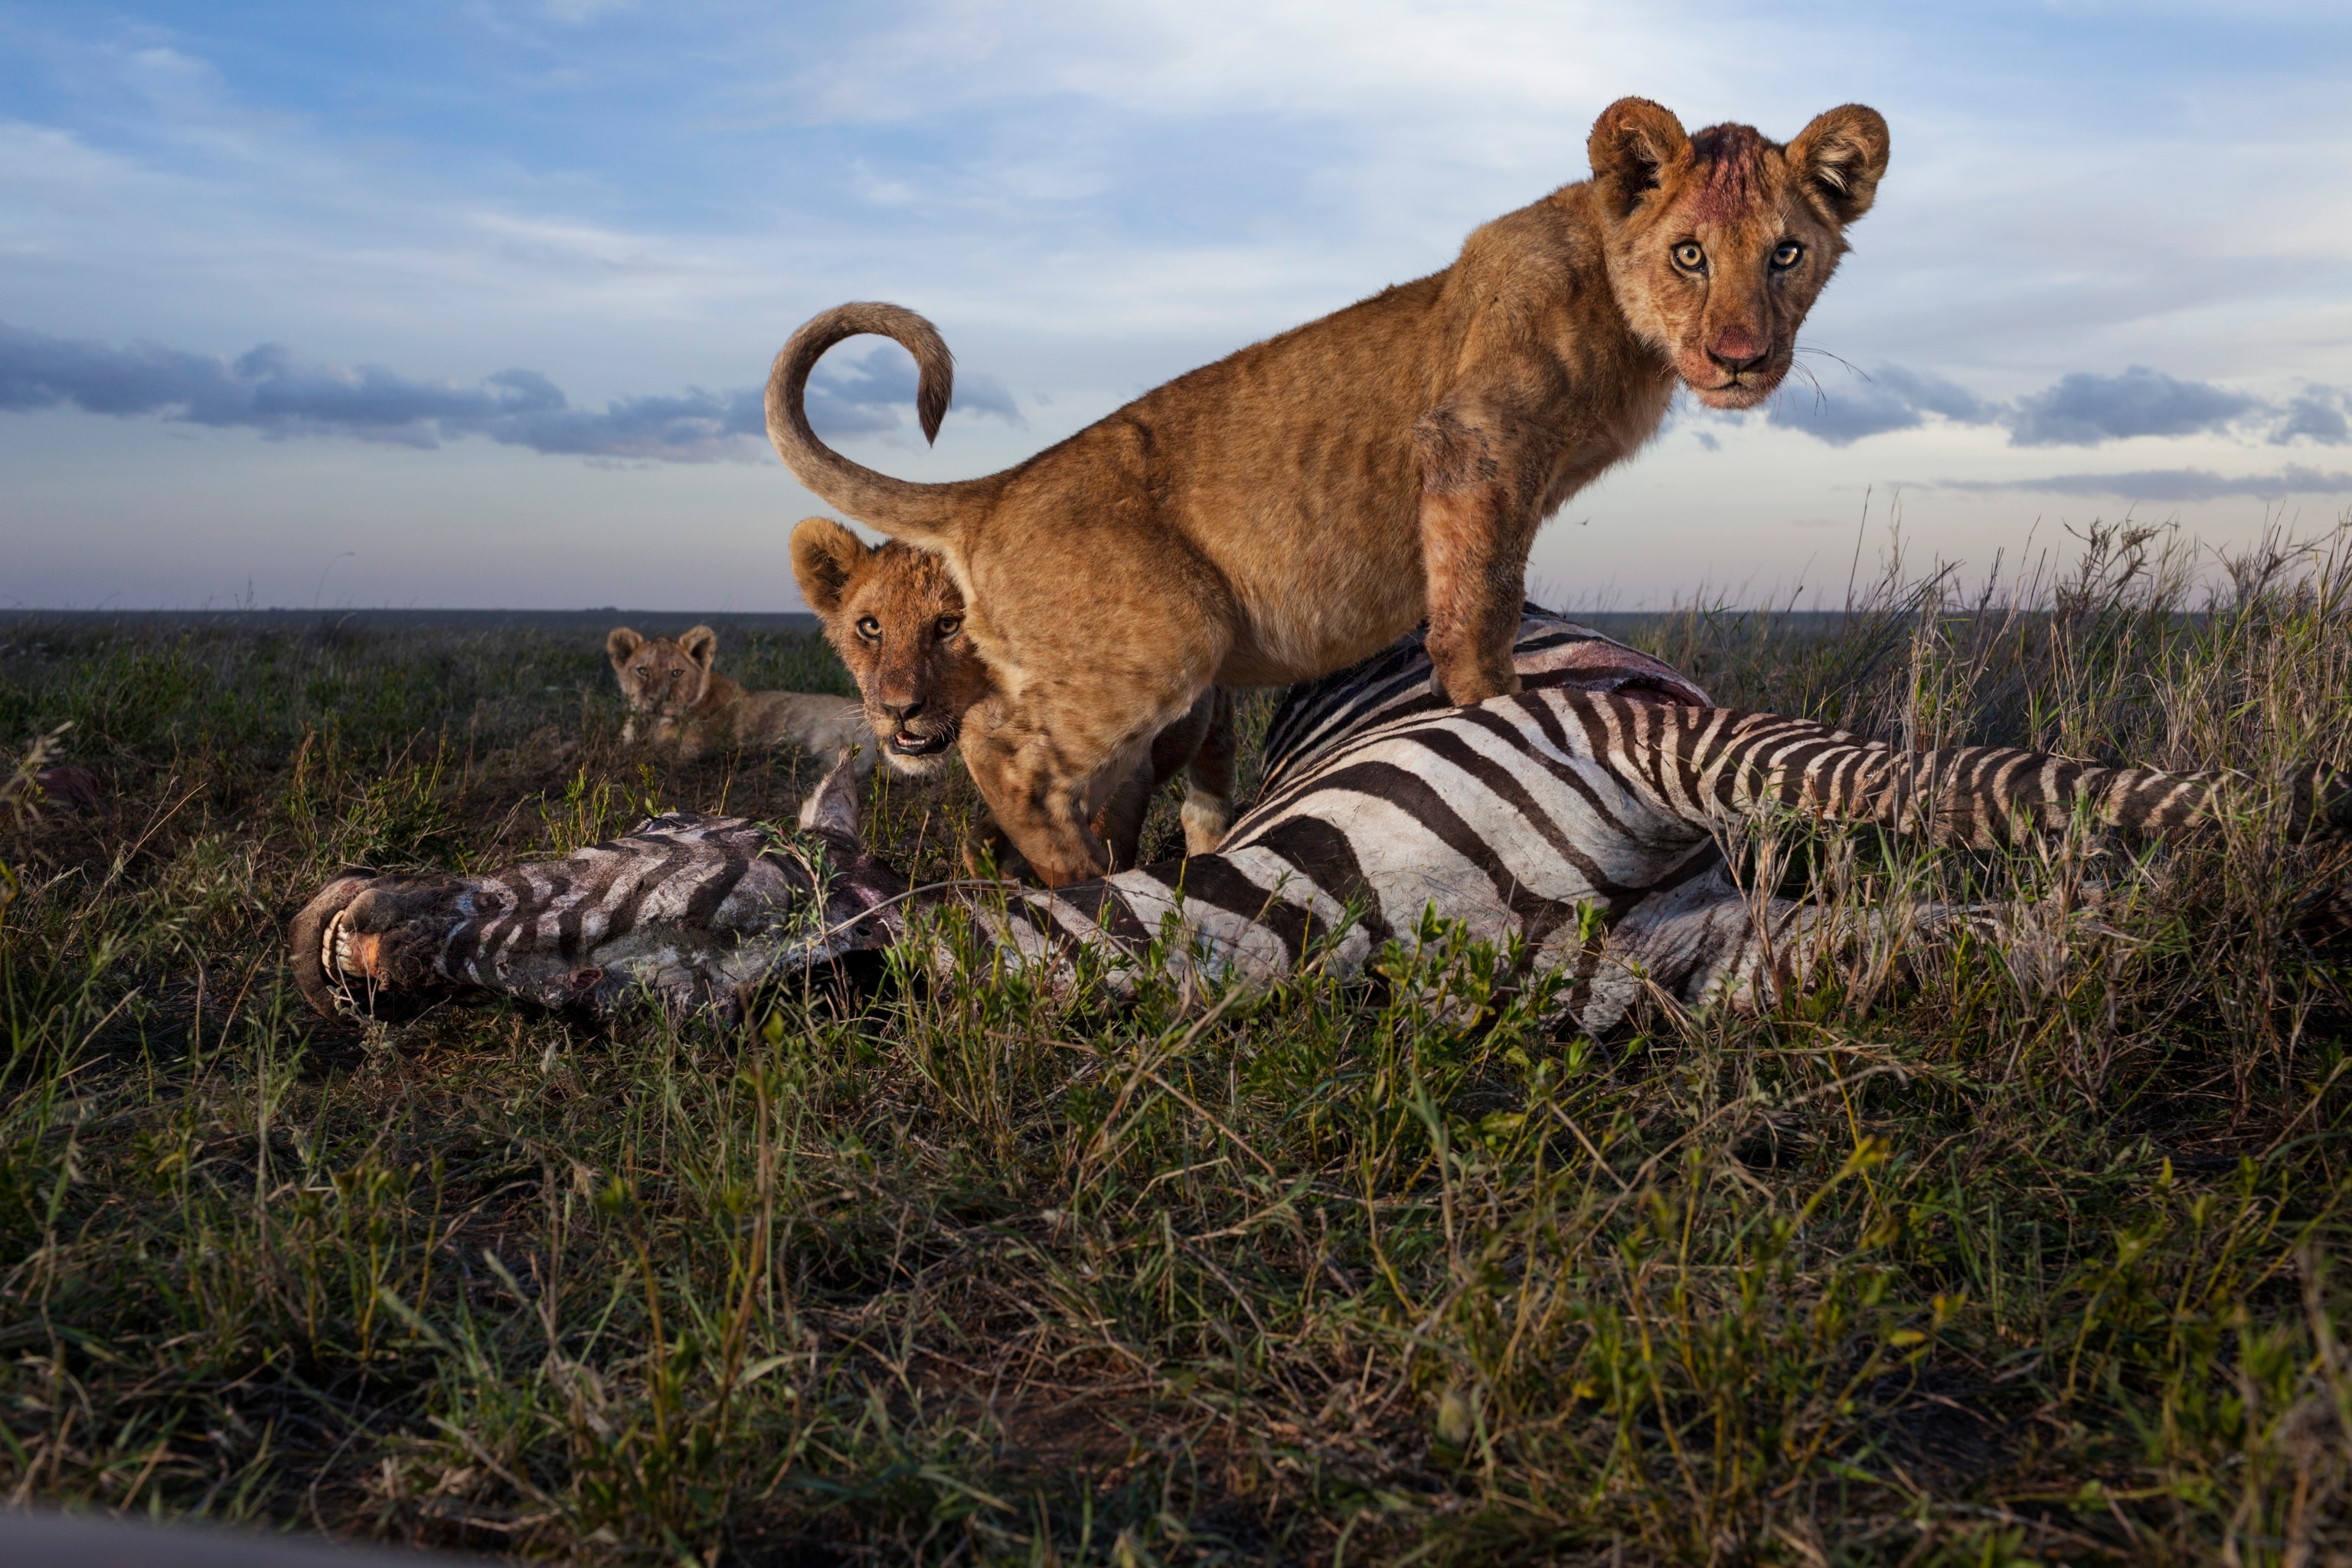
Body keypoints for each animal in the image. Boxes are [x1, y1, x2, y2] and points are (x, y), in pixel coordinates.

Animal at [788, 518, 1234, 872]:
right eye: (870, 626)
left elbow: (1107, 858)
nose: (899, 709)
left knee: (1206, 801)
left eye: (949, 625)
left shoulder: (1125, 772)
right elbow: (987, 845)